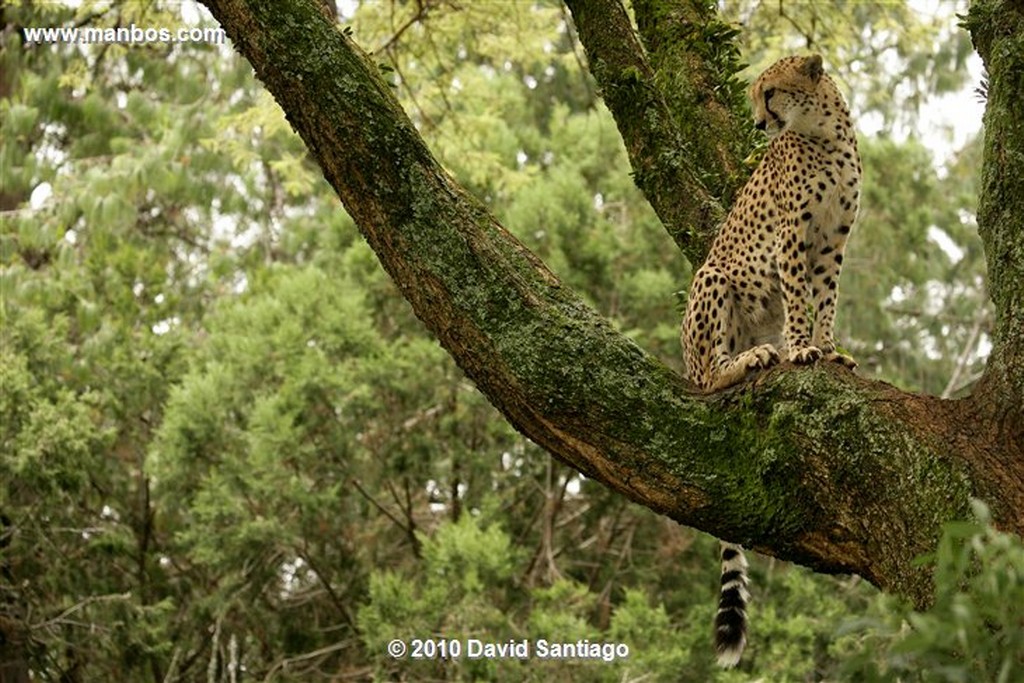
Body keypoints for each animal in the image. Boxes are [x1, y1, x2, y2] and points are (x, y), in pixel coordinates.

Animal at [684, 54, 860, 667]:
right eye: (755, 96)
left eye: (772, 93)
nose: (761, 125)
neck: (824, 134)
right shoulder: (793, 237)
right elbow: (801, 298)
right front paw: (803, 348)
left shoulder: (832, 240)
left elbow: (826, 297)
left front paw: (829, 350)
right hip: (712, 279)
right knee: (710, 378)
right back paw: (755, 357)